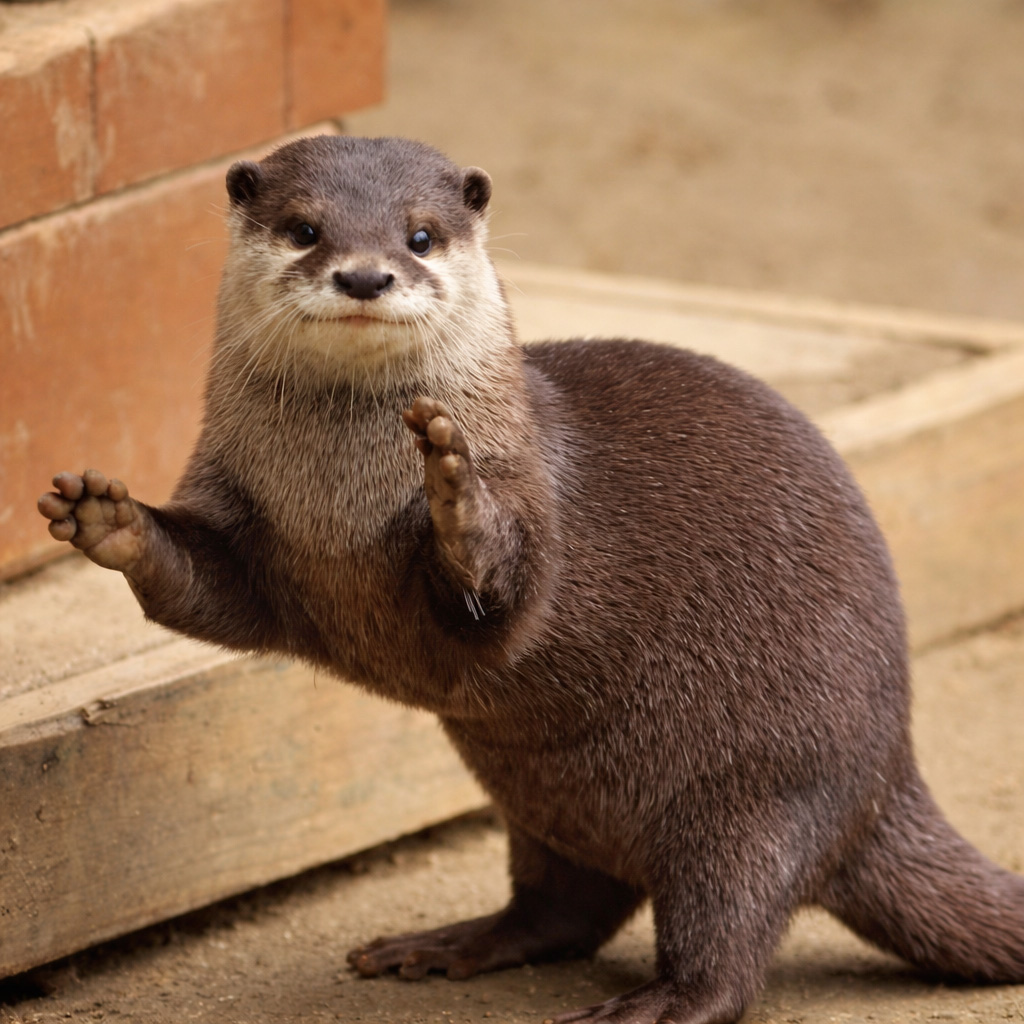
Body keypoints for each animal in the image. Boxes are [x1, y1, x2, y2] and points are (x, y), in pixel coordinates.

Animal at [38, 135, 1024, 1024]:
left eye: (422, 235)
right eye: (304, 228)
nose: (365, 276)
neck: (334, 503)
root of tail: (888, 773)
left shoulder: (530, 503)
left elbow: (504, 593)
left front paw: (451, 485)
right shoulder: (246, 527)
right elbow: (202, 592)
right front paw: (107, 518)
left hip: (764, 784)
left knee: (733, 934)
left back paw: (657, 1002)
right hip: (547, 802)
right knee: (566, 907)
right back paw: (448, 944)